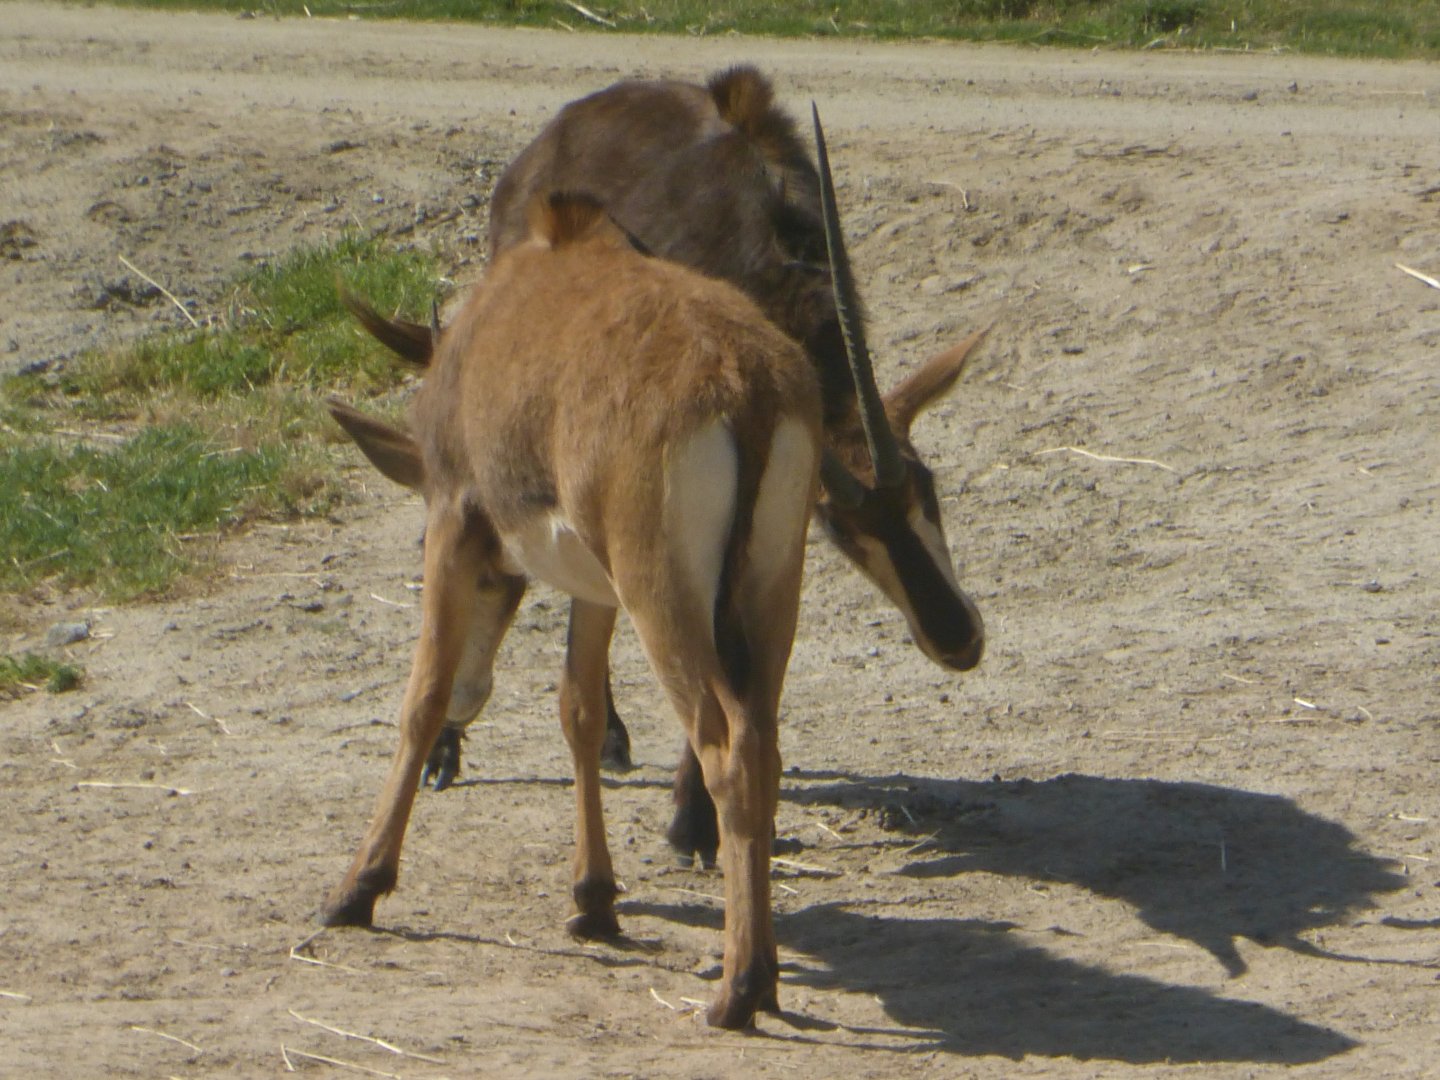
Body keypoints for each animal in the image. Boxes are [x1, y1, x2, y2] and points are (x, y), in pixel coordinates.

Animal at [337, 68, 988, 868]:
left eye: (930, 492)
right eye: (844, 529)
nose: (957, 636)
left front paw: (701, 817)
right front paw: (690, 821)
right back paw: (479, 746)